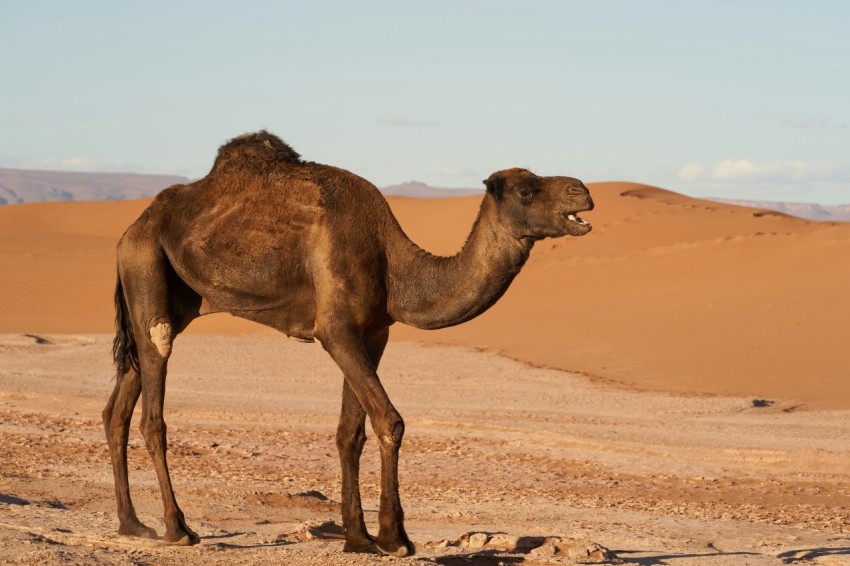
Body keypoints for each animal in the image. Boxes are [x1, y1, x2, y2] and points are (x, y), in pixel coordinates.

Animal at [102, 130, 592, 560]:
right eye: (527, 190)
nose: (583, 189)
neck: (392, 263)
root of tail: (130, 230)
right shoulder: (335, 330)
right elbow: (390, 421)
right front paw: (394, 537)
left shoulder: (373, 333)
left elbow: (349, 432)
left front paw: (357, 537)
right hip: (146, 266)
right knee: (153, 403)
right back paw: (177, 528)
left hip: (170, 295)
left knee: (118, 407)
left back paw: (133, 524)